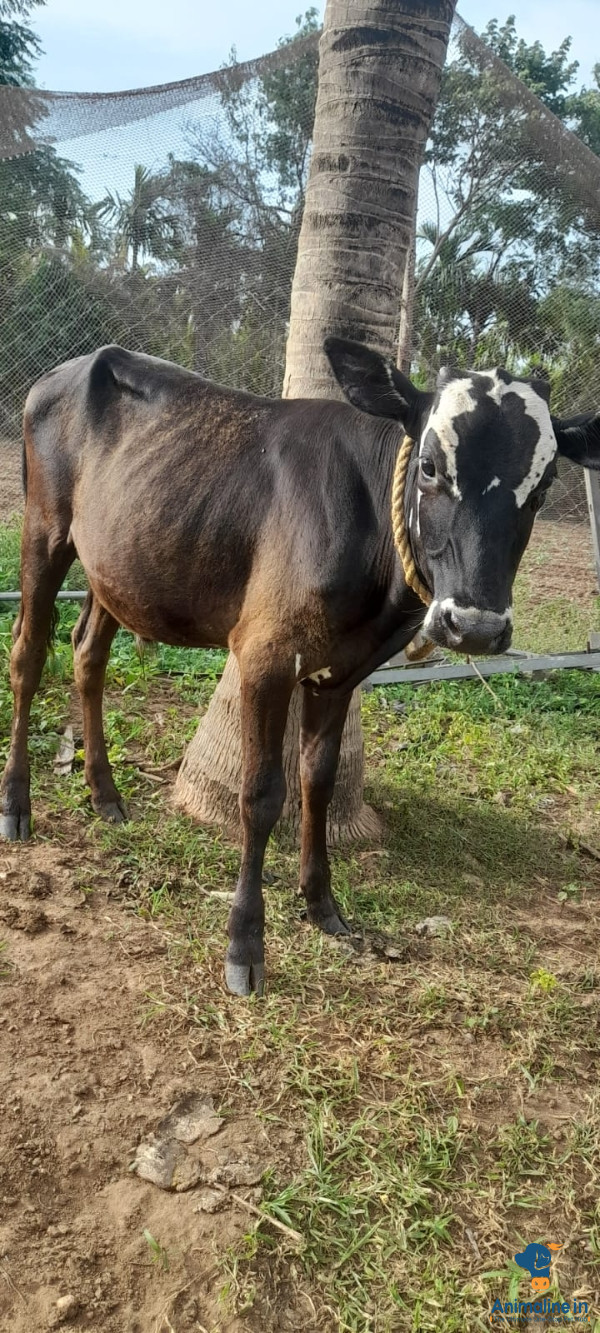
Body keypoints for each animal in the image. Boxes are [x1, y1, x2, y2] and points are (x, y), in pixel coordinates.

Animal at [1, 338, 599, 994]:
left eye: (543, 485)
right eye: (429, 467)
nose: (476, 626)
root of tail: (75, 364)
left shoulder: (340, 673)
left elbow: (319, 780)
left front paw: (321, 904)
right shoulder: (264, 654)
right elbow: (262, 794)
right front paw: (245, 945)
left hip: (116, 564)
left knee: (88, 653)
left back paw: (105, 794)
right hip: (44, 529)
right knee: (28, 654)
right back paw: (17, 804)